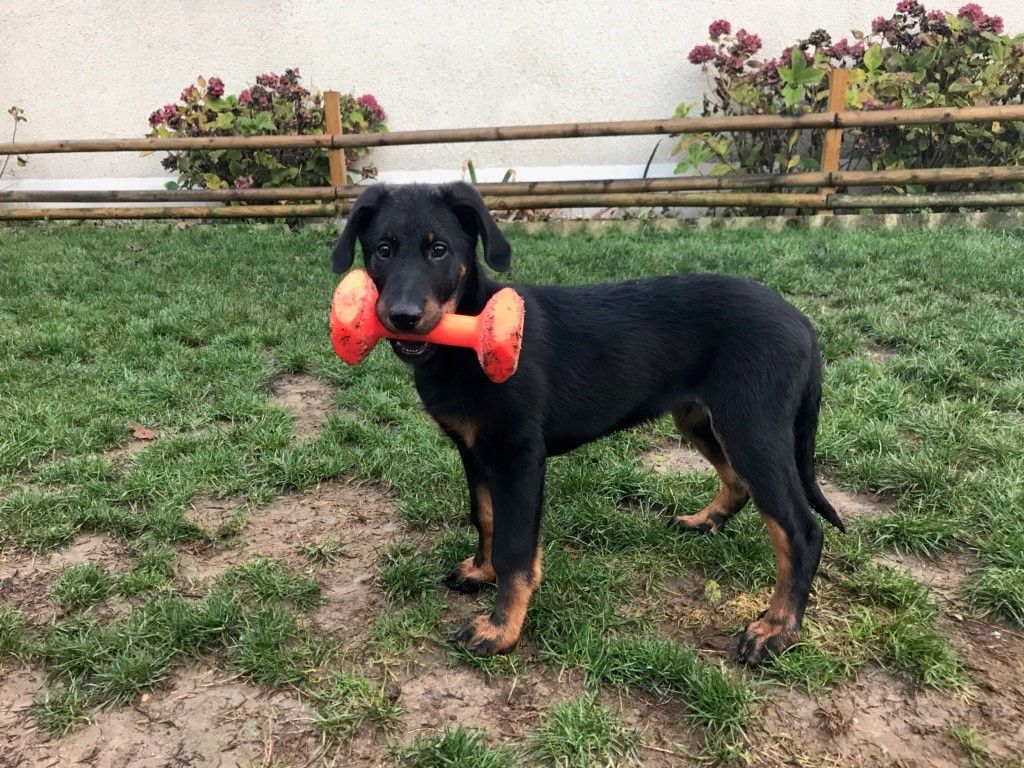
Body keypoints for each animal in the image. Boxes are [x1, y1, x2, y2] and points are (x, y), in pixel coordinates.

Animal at [331, 183, 843, 663]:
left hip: (751, 428)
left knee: (801, 530)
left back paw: (777, 629)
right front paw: (481, 571)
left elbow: (516, 546)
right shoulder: (474, 450)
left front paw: (500, 629)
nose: (402, 317)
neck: (467, 340)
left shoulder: (519, 456)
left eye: (438, 250)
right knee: (738, 482)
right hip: (702, 419)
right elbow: (487, 517)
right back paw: (706, 521)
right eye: (383, 249)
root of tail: (803, 324)